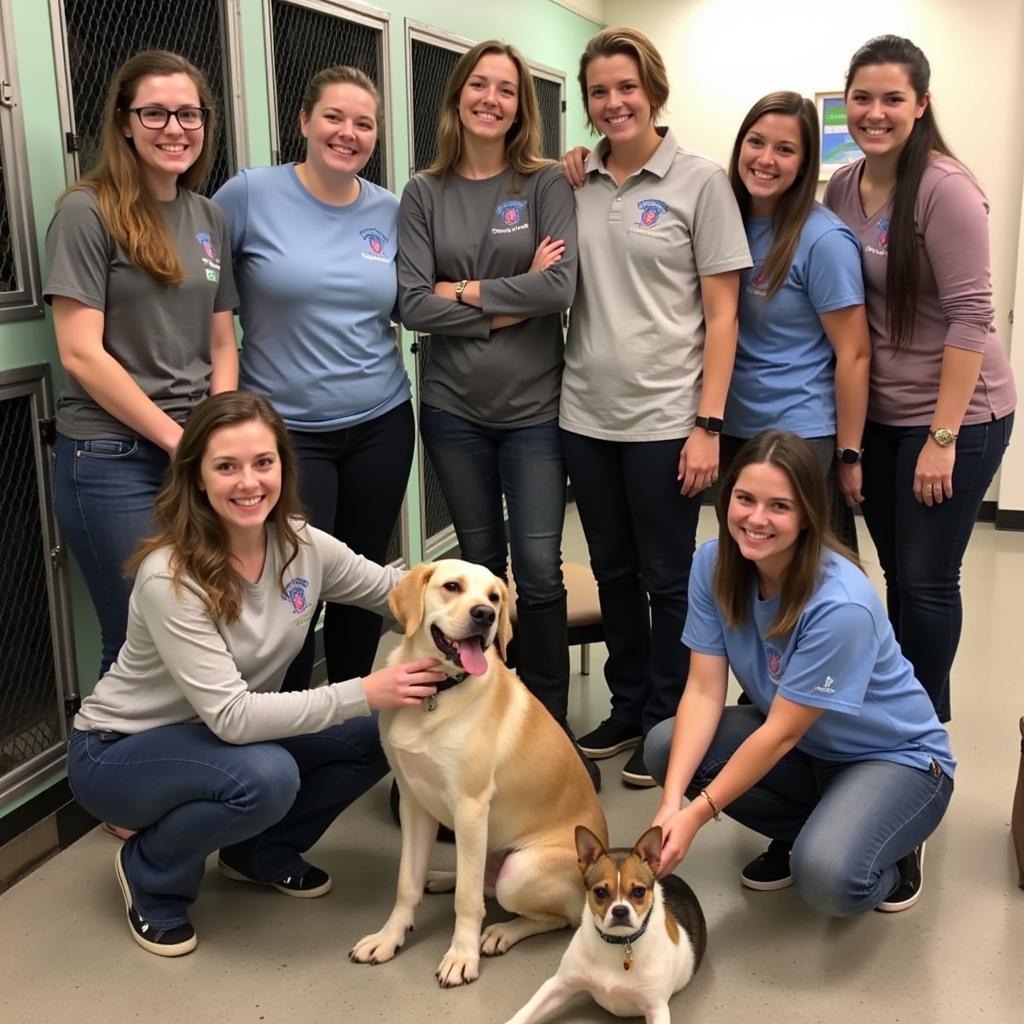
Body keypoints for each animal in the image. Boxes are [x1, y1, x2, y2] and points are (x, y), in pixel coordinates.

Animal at [352, 565, 606, 987]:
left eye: (495, 597)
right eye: (452, 586)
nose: (484, 615)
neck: (436, 694)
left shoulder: (470, 807)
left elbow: (468, 902)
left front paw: (461, 956)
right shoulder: (413, 802)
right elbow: (406, 884)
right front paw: (389, 938)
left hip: (518, 870)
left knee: (554, 917)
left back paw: (501, 932)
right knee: (474, 878)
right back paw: (441, 877)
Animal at [501, 823, 704, 1024]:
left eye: (638, 891)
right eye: (600, 892)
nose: (620, 911)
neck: (619, 942)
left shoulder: (656, 1008)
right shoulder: (559, 984)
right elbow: (525, 1013)